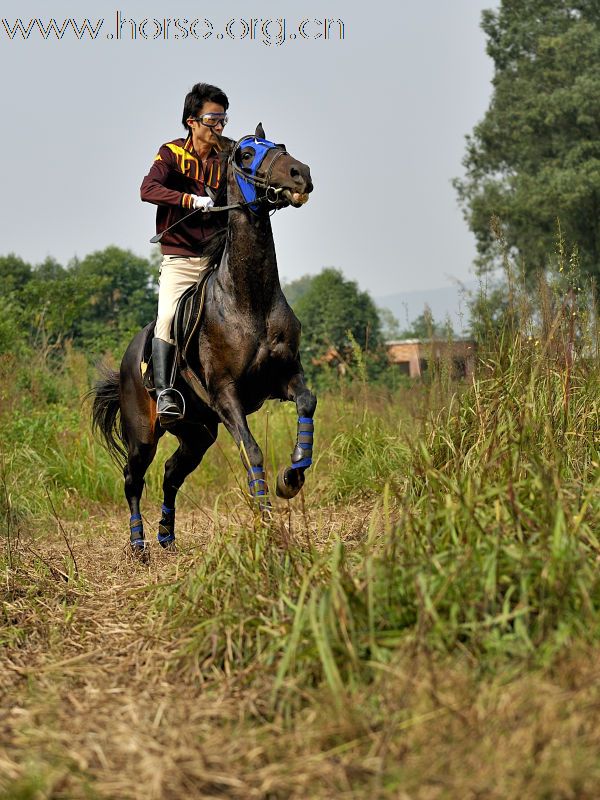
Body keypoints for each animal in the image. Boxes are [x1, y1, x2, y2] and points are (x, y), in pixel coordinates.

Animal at [91, 125, 316, 552]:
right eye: (246, 155)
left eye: (278, 146)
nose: (301, 175)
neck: (250, 300)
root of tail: (128, 358)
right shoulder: (226, 395)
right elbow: (252, 451)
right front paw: (268, 524)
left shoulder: (284, 377)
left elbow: (307, 404)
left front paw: (292, 476)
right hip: (144, 433)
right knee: (133, 477)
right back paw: (139, 545)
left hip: (198, 434)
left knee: (171, 473)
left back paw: (166, 535)